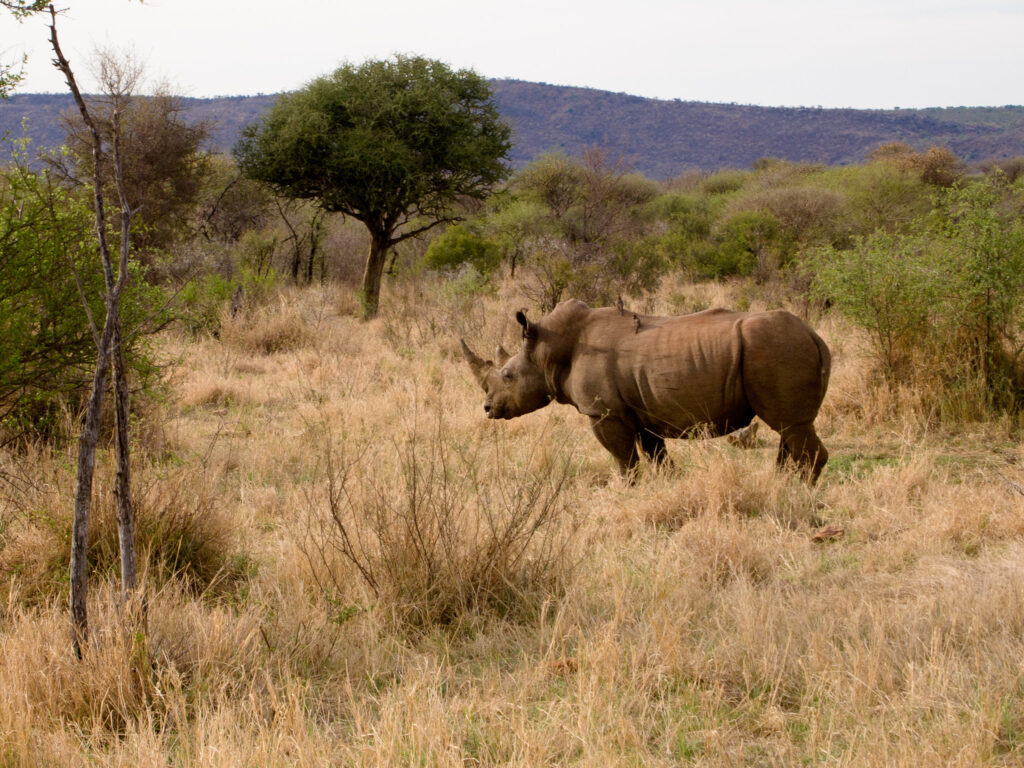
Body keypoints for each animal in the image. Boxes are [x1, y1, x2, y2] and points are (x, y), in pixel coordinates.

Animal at [461, 299, 831, 482]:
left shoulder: (604, 412)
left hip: (776, 347)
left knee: (791, 426)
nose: (488, 409)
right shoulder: (642, 411)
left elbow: (624, 459)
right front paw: (669, 487)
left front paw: (628, 488)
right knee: (790, 428)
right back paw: (783, 485)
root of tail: (815, 336)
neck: (547, 349)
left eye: (507, 376)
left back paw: (800, 491)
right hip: (780, 347)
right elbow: (658, 457)